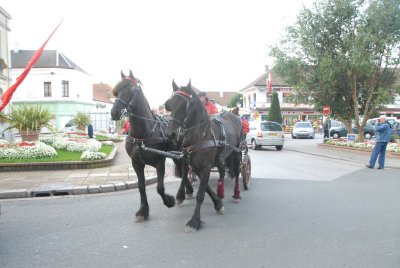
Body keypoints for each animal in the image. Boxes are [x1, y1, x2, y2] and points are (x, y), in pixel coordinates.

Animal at [111, 70, 194, 222]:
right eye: (116, 91)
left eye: (131, 89)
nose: (114, 112)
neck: (143, 134)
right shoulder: (136, 163)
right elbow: (141, 186)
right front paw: (143, 211)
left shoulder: (160, 162)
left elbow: (160, 188)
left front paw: (169, 201)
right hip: (175, 155)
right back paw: (188, 190)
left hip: (184, 153)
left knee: (185, 170)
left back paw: (182, 194)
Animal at [164, 79, 242, 232]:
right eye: (169, 104)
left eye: (185, 105)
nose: (171, 134)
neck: (200, 135)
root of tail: (233, 115)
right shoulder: (194, 166)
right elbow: (205, 187)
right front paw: (218, 203)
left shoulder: (205, 167)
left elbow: (200, 194)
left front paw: (194, 221)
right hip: (220, 157)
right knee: (222, 171)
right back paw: (220, 192)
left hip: (236, 152)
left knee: (236, 172)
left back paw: (236, 194)